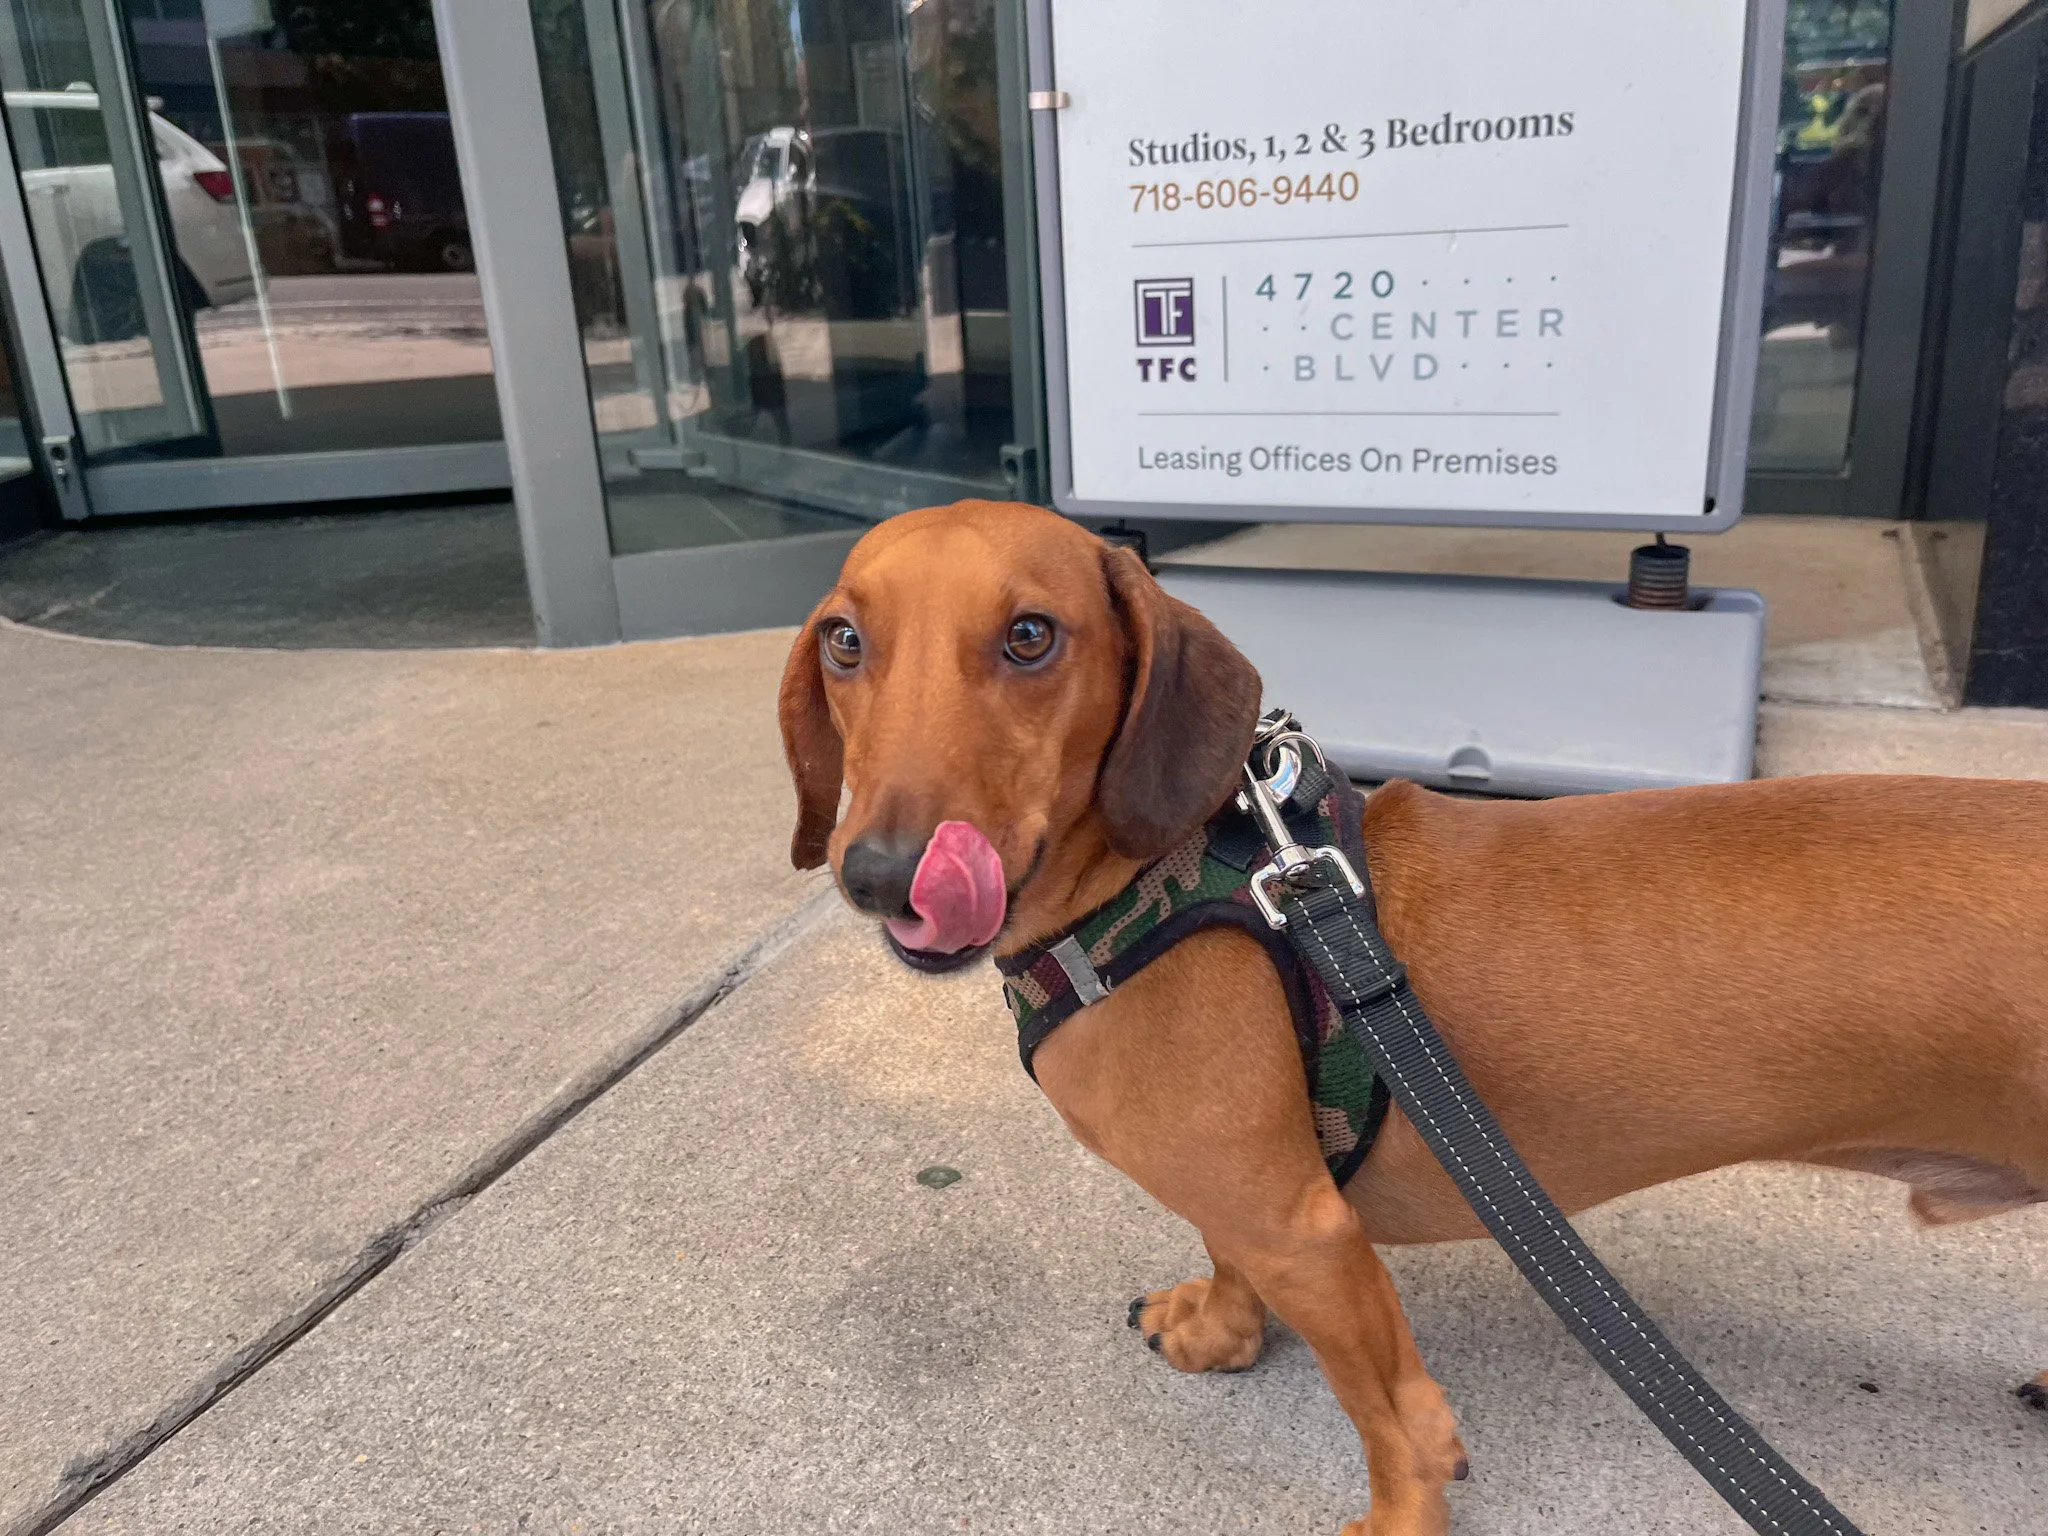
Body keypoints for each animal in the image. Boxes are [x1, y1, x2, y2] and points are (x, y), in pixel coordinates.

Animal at [777, 498, 2048, 1535]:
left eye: (1031, 636)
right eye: (845, 641)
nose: (883, 876)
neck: (1160, 881)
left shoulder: (1307, 1235)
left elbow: (1390, 1419)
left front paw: (1399, 1512)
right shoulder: (1254, 1205)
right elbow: (1227, 1258)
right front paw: (1220, 1330)